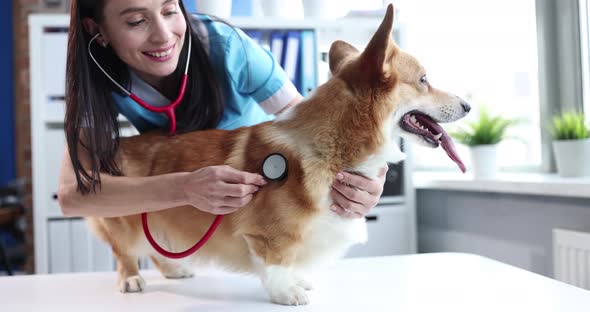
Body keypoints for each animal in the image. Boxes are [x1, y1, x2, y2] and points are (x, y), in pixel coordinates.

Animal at [86, 3, 472, 306]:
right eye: (424, 80)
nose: (468, 106)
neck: (331, 147)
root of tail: (116, 147)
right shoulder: (266, 237)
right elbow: (277, 263)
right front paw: (287, 293)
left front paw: (297, 281)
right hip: (126, 217)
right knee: (125, 251)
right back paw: (130, 278)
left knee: (154, 249)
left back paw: (174, 269)